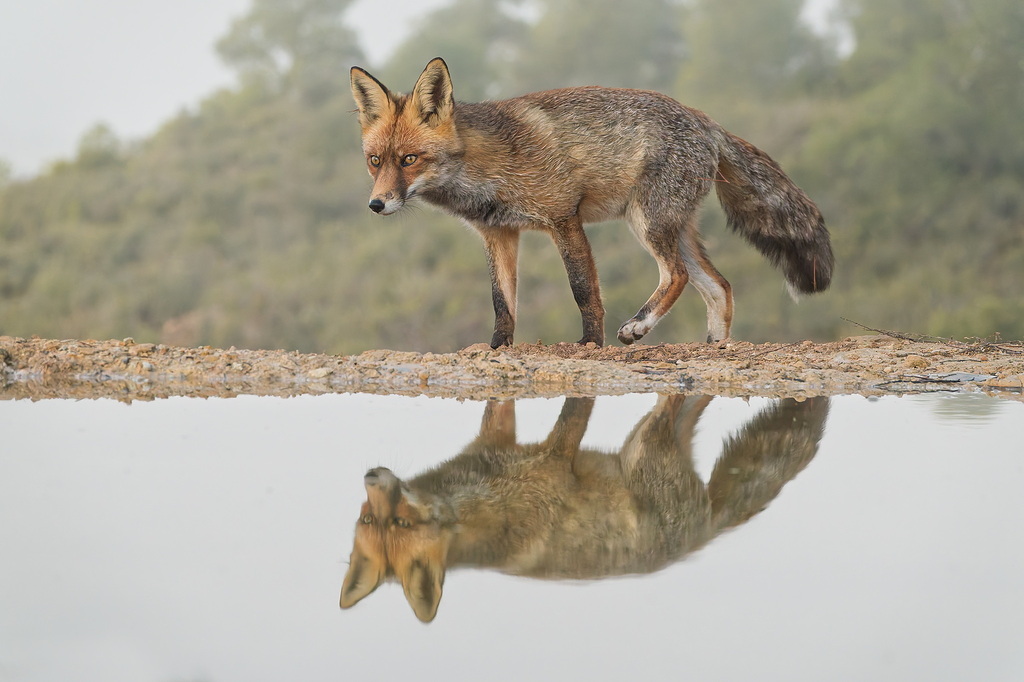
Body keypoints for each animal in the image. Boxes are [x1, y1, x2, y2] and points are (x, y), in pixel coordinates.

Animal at [340, 395, 829, 622]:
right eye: (369, 519)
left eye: (399, 520)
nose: (369, 477)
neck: (480, 500)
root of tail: (699, 541)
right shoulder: (497, 439)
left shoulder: (553, 460)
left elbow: (572, 418)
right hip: (656, 443)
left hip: (645, 444)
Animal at [349, 57, 834, 348]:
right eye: (375, 161)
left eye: (409, 160)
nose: (376, 205)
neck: (486, 166)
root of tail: (705, 119)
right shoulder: (499, 233)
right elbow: (502, 302)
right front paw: (497, 348)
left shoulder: (563, 218)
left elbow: (584, 291)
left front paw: (589, 344)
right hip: (672, 228)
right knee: (720, 286)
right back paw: (714, 347)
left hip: (647, 222)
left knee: (676, 276)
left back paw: (638, 325)